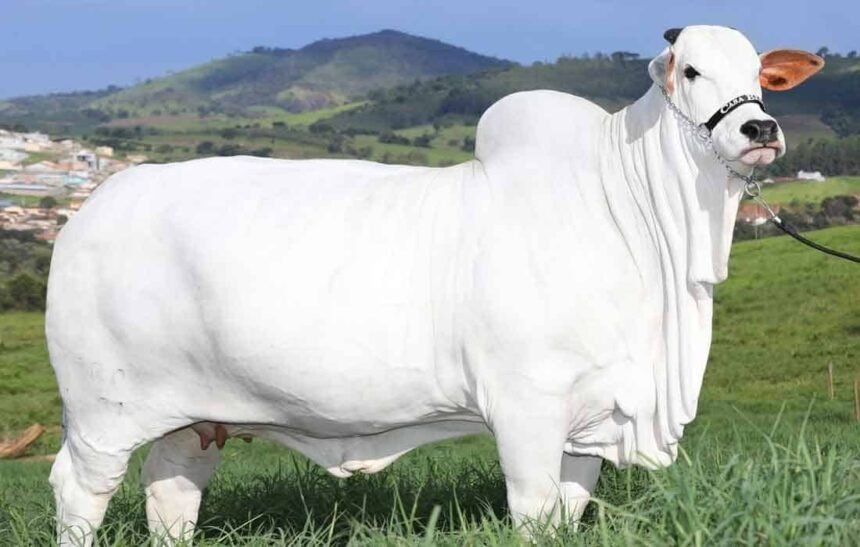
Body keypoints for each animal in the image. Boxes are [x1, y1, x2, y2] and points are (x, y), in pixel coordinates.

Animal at [46, 25, 822, 545]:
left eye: (759, 72)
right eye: (690, 70)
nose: (760, 128)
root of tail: (91, 210)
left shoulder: (591, 418)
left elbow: (568, 512)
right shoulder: (526, 408)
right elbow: (535, 513)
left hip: (194, 417)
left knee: (172, 491)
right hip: (102, 413)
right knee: (79, 492)